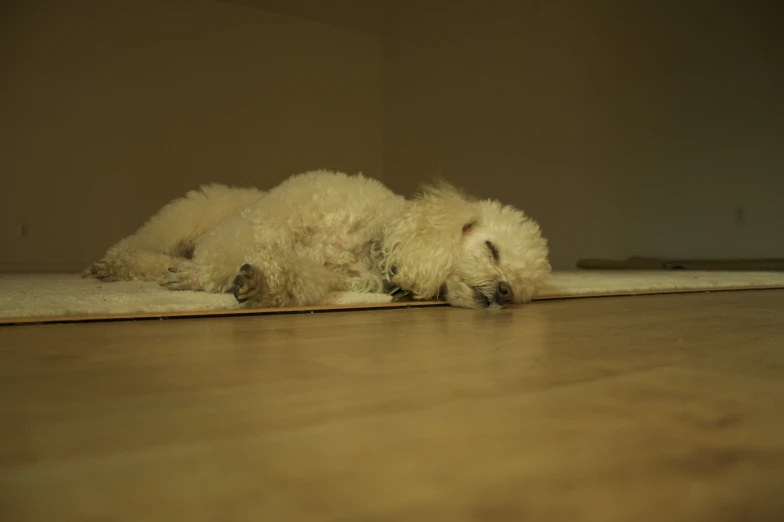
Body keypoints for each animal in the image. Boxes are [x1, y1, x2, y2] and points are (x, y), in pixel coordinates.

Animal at [84, 171, 552, 306]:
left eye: (521, 291)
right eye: (492, 249)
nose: (505, 292)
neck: (372, 244)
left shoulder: (325, 275)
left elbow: (294, 276)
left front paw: (258, 283)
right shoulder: (264, 221)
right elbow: (219, 257)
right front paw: (198, 277)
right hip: (185, 219)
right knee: (136, 248)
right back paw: (123, 266)